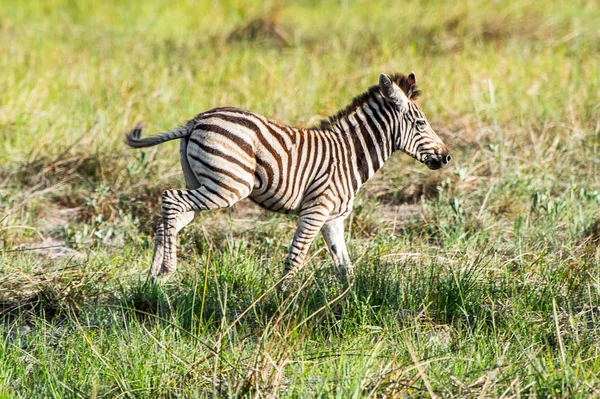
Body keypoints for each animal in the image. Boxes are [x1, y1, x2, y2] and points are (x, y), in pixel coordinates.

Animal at [125, 72, 450, 290]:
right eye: (421, 123)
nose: (446, 157)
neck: (349, 154)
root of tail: (196, 120)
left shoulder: (333, 218)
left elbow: (344, 267)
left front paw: (350, 302)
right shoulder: (316, 210)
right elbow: (295, 258)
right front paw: (281, 302)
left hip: (203, 182)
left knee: (170, 219)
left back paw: (153, 279)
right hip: (229, 186)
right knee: (170, 199)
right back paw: (166, 270)